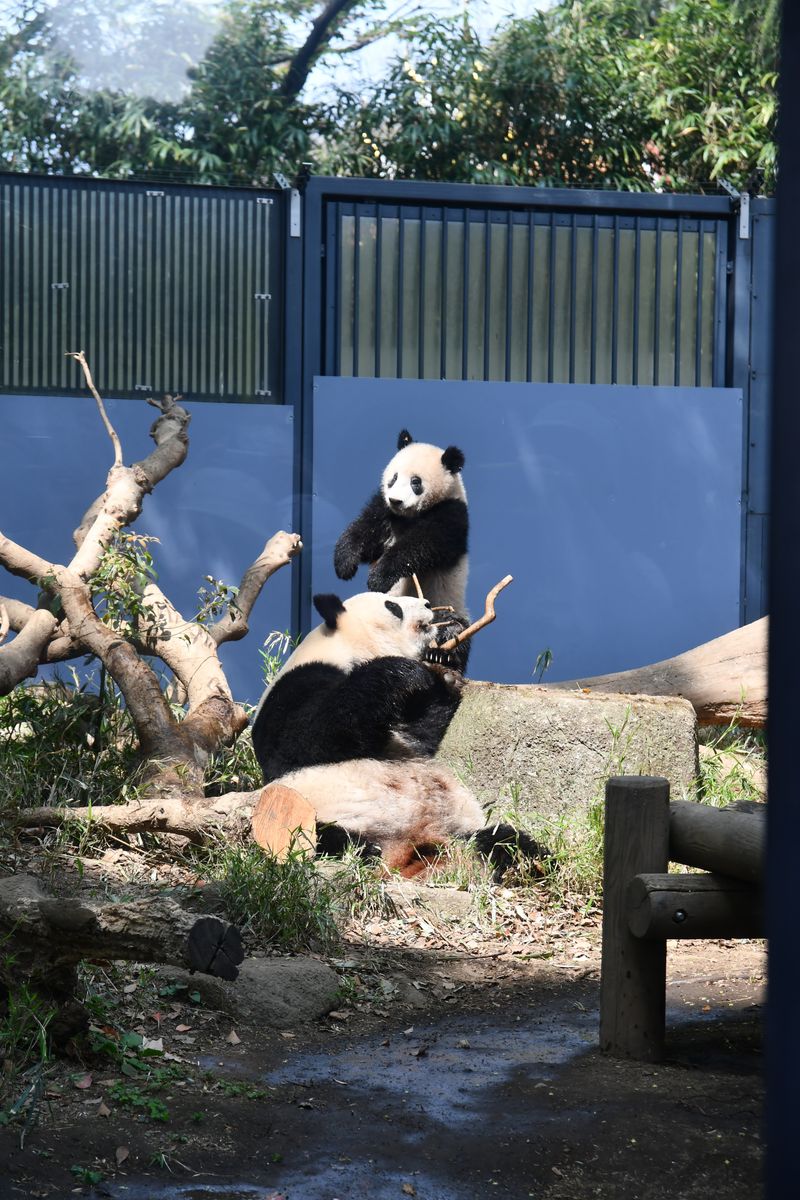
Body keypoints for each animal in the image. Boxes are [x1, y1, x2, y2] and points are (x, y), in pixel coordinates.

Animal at [250, 592, 544, 883]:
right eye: (392, 606)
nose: (428, 604)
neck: (344, 648)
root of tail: (408, 852)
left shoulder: (407, 727)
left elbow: (421, 731)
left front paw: (447, 649)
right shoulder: (296, 686)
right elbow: (305, 734)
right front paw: (402, 670)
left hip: (458, 833)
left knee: (502, 840)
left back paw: (529, 867)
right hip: (317, 813)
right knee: (326, 838)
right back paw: (365, 853)